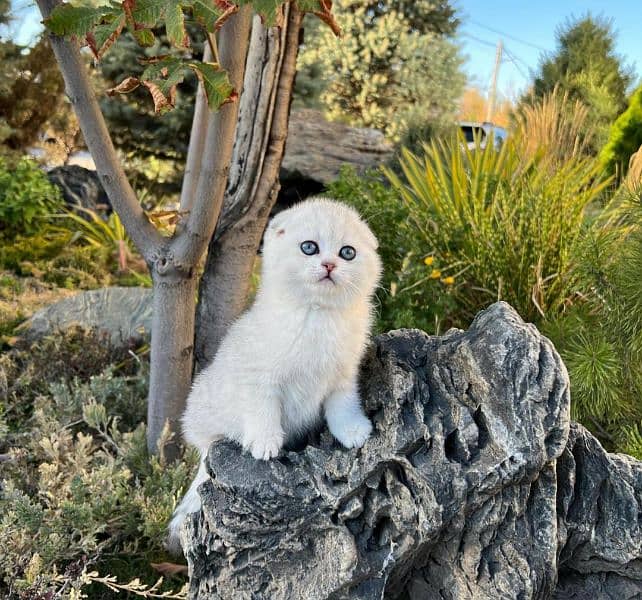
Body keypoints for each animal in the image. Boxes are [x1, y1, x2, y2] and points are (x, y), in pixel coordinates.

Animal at [168, 198, 382, 552]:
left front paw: (353, 431)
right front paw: (265, 443)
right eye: (309, 247)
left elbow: (343, 406)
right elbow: (263, 410)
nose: (329, 265)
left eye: (347, 252)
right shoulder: (258, 377)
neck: (317, 315)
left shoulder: (344, 375)